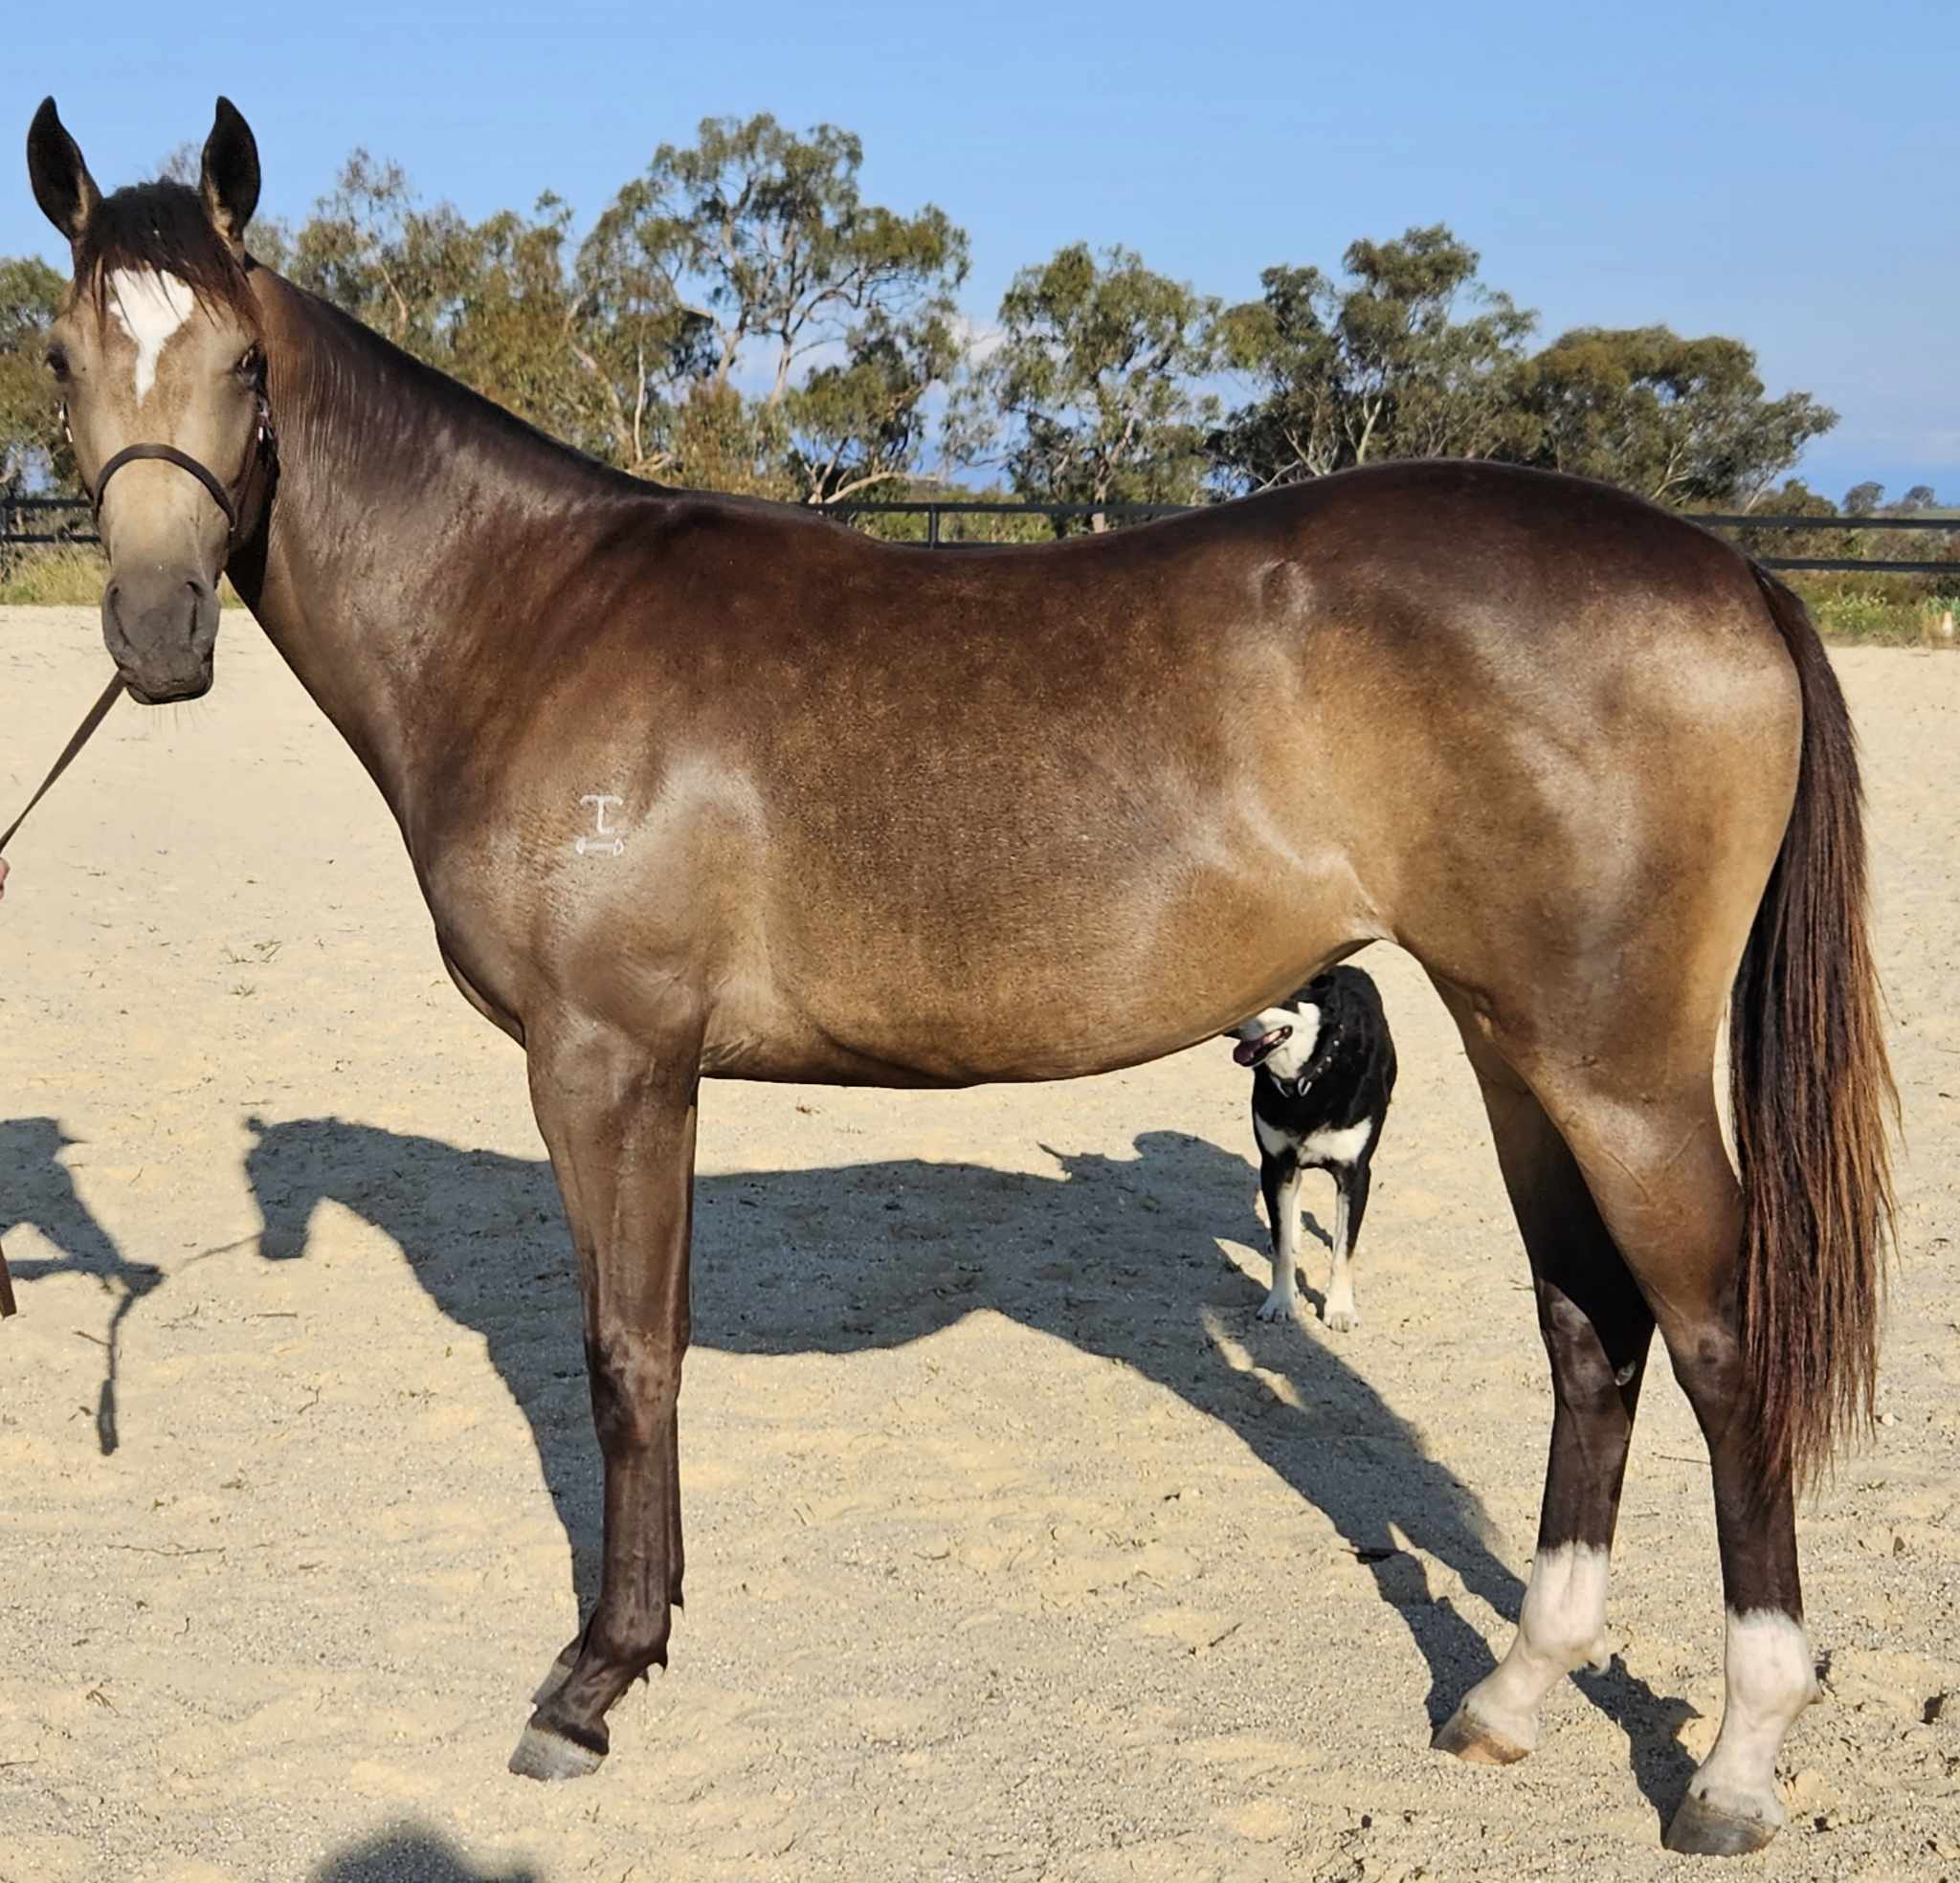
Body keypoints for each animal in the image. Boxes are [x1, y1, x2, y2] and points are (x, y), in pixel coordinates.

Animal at [1223, 965, 1396, 1331]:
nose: (1228, 1025)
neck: (1309, 1079)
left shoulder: (1355, 1174)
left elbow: (1343, 1251)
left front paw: (1340, 1308)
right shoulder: (1275, 1163)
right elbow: (1281, 1249)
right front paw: (1280, 1301)